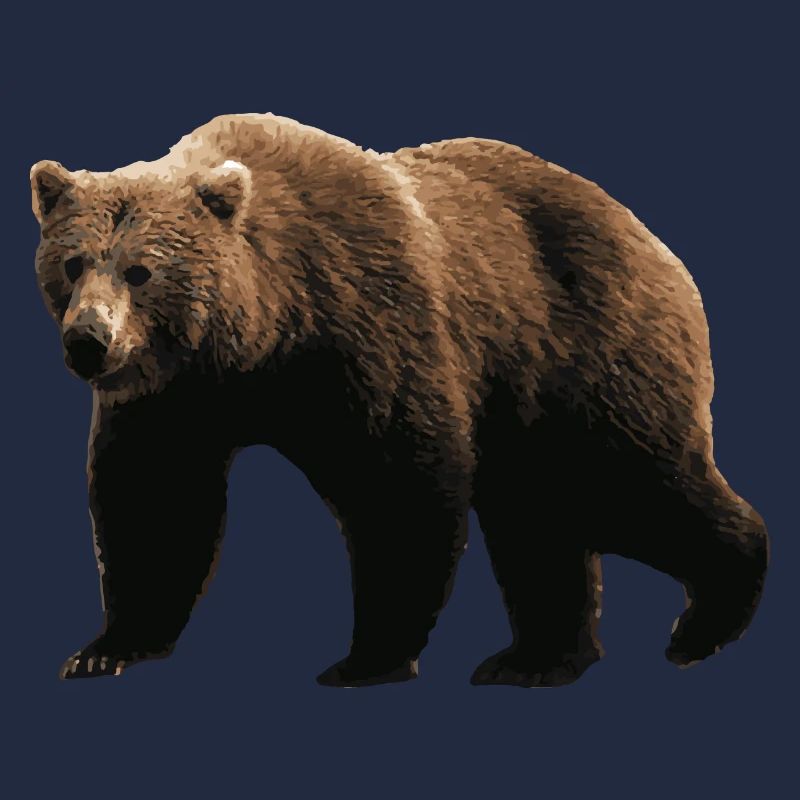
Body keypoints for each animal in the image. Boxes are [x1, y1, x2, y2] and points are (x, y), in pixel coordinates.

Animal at [30, 113, 769, 687]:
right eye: (73, 262)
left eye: (141, 270)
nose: (89, 341)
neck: (261, 336)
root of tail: (651, 239)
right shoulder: (176, 397)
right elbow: (154, 501)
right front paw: (106, 649)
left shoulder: (365, 324)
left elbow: (398, 481)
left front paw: (367, 658)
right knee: (539, 513)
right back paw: (536, 657)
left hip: (582, 349)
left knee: (631, 480)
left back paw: (705, 621)